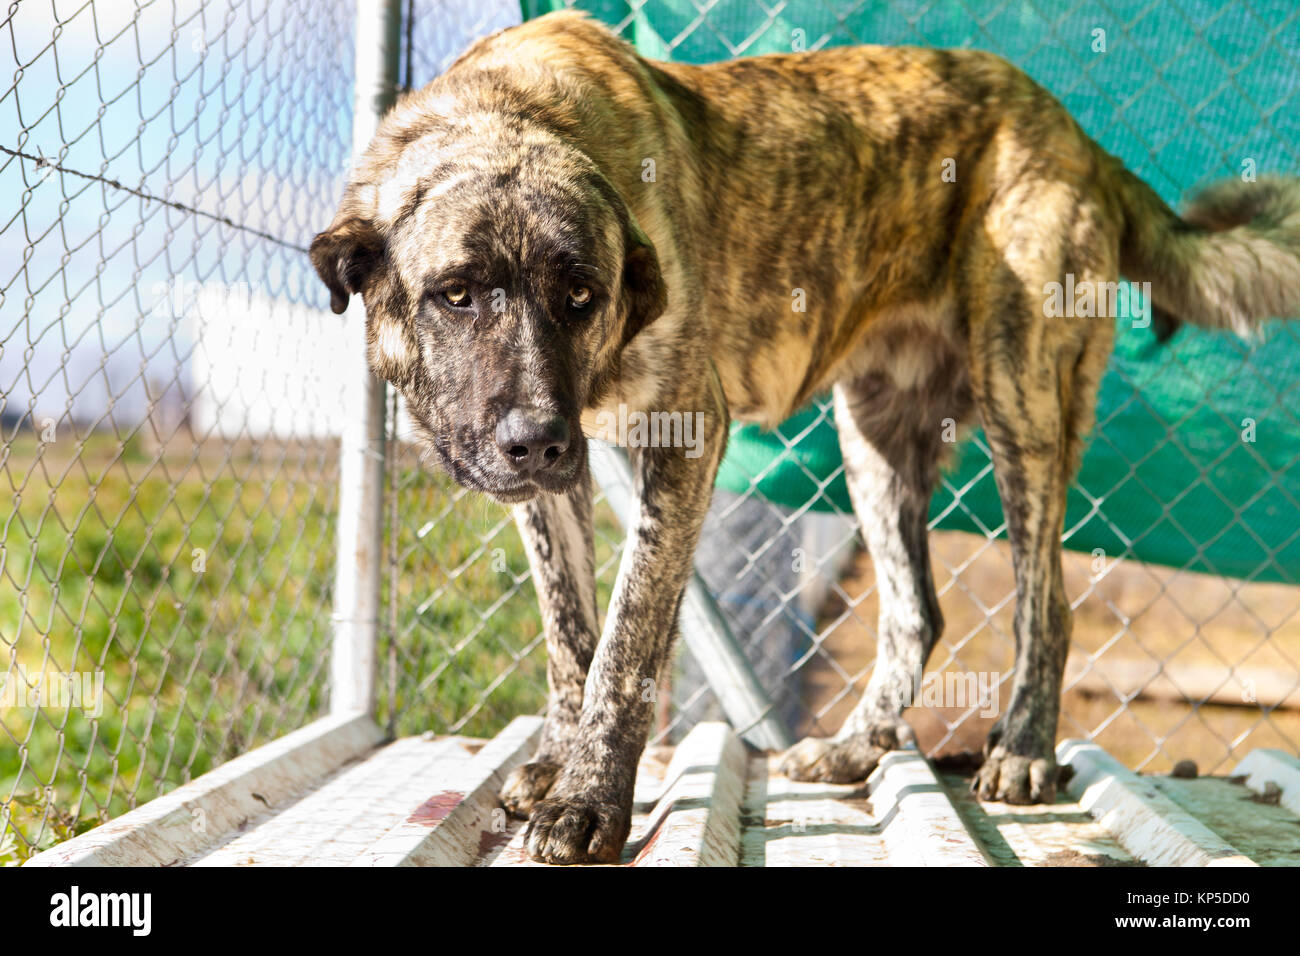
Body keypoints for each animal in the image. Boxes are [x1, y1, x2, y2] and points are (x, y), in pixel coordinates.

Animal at [312, 11, 1300, 863]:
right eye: (457, 293)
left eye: (581, 294)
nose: (536, 441)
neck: (507, 111)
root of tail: (1079, 135)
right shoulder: (553, 489)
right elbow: (569, 639)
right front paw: (560, 763)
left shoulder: (684, 434)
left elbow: (624, 644)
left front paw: (590, 801)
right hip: (874, 439)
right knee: (916, 610)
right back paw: (858, 749)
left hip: (1021, 393)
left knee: (1044, 602)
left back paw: (1020, 750)